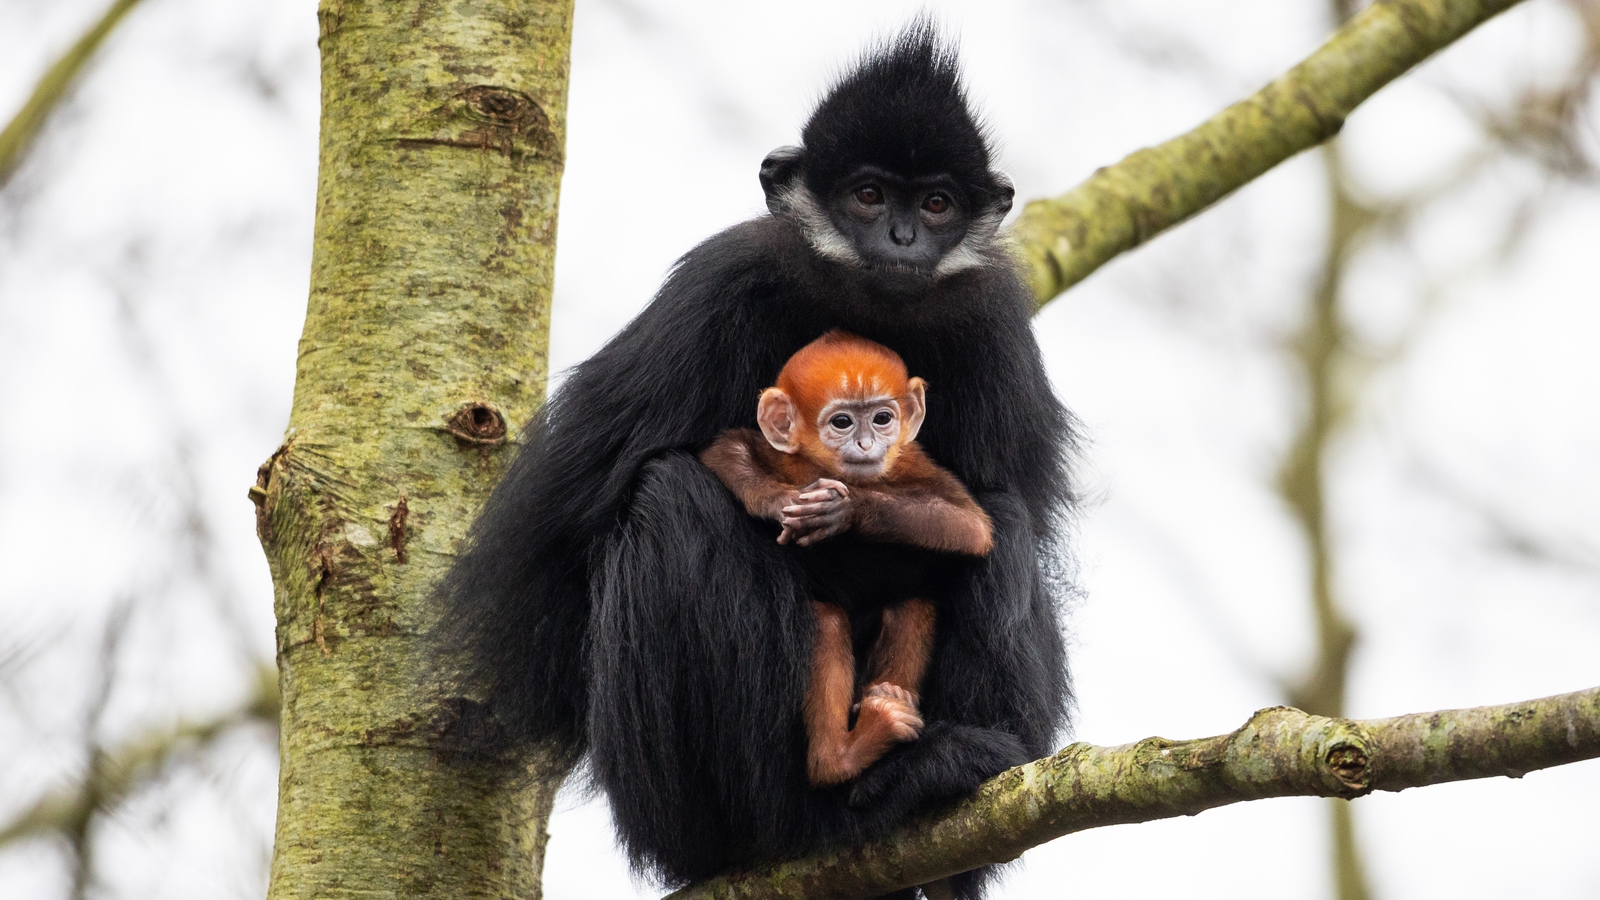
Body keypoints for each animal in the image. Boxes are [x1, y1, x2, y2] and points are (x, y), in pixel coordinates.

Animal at [700, 329, 985, 784]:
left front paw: (845, 509)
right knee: (828, 621)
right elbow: (725, 450)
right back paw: (838, 758)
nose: (867, 444)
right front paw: (781, 500)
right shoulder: (783, 453)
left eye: (882, 418)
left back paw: (883, 702)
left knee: (911, 602)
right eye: (842, 422)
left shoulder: (911, 460)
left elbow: (971, 525)